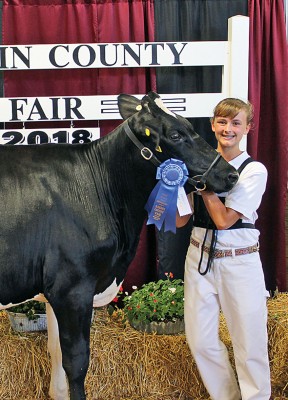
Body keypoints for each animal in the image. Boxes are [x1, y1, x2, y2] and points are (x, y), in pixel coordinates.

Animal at [0, 92, 238, 398]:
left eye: (190, 125)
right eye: (176, 134)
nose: (231, 174)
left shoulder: (55, 292)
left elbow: (56, 355)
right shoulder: (72, 288)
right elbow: (76, 363)